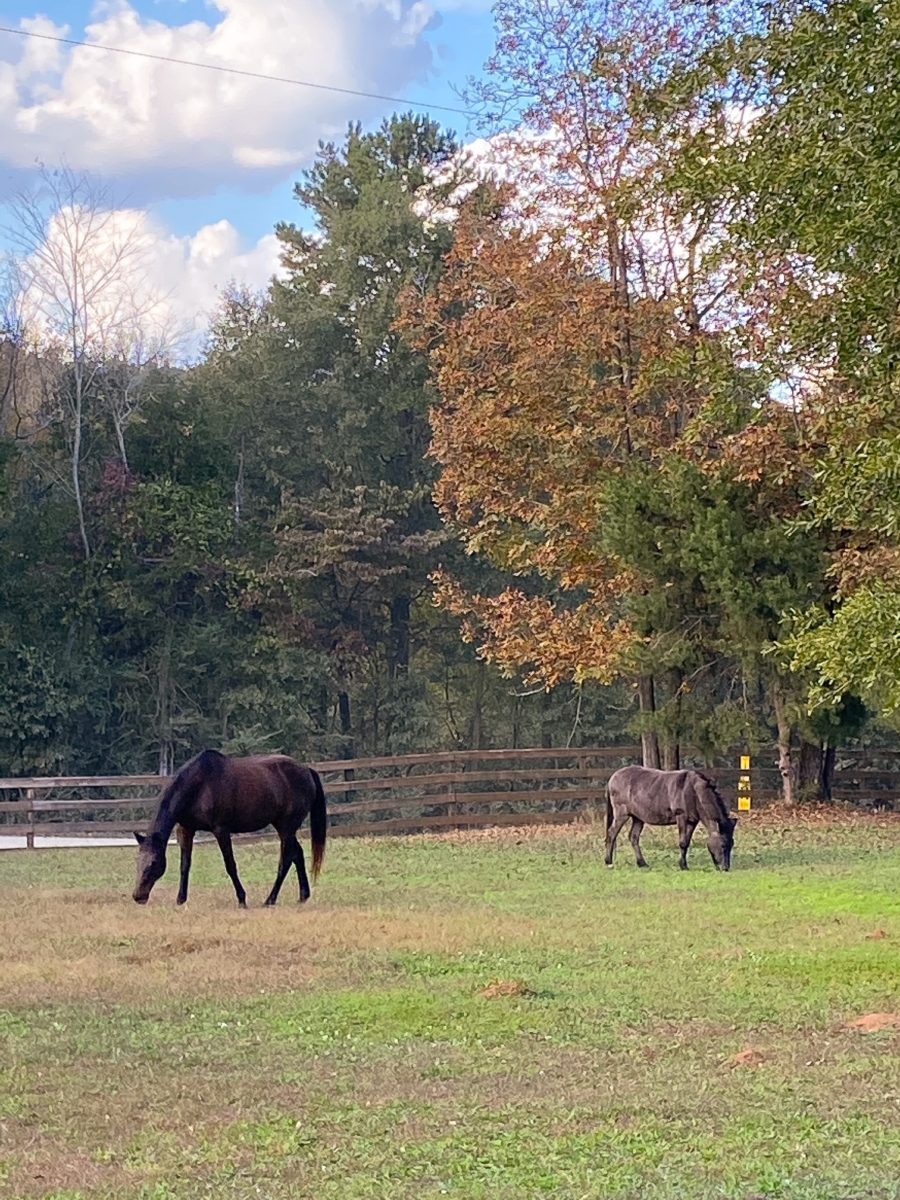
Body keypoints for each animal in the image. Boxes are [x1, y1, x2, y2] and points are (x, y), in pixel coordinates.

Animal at [132, 744, 328, 902]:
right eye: (138, 860)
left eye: (154, 863)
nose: (138, 896)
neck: (199, 786)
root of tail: (307, 770)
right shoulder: (186, 829)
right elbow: (184, 865)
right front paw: (180, 900)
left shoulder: (221, 830)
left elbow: (230, 865)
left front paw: (242, 899)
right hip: (284, 827)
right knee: (297, 854)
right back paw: (303, 896)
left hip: (286, 827)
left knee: (286, 859)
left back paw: (270, 900)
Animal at [607, 768, 739, 873]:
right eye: (722, 845)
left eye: (732, 844)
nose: (725, 868)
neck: (693, 791)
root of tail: (613, 777)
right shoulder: (681, 817)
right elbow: (682, 842)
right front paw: (683, 866)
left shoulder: (692, 821)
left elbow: (687, 842)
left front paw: (683, 864)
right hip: (621, 814)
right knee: (612, 834)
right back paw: (608, 862)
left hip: (638, 818)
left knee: (633, 837)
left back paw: (642, 863)